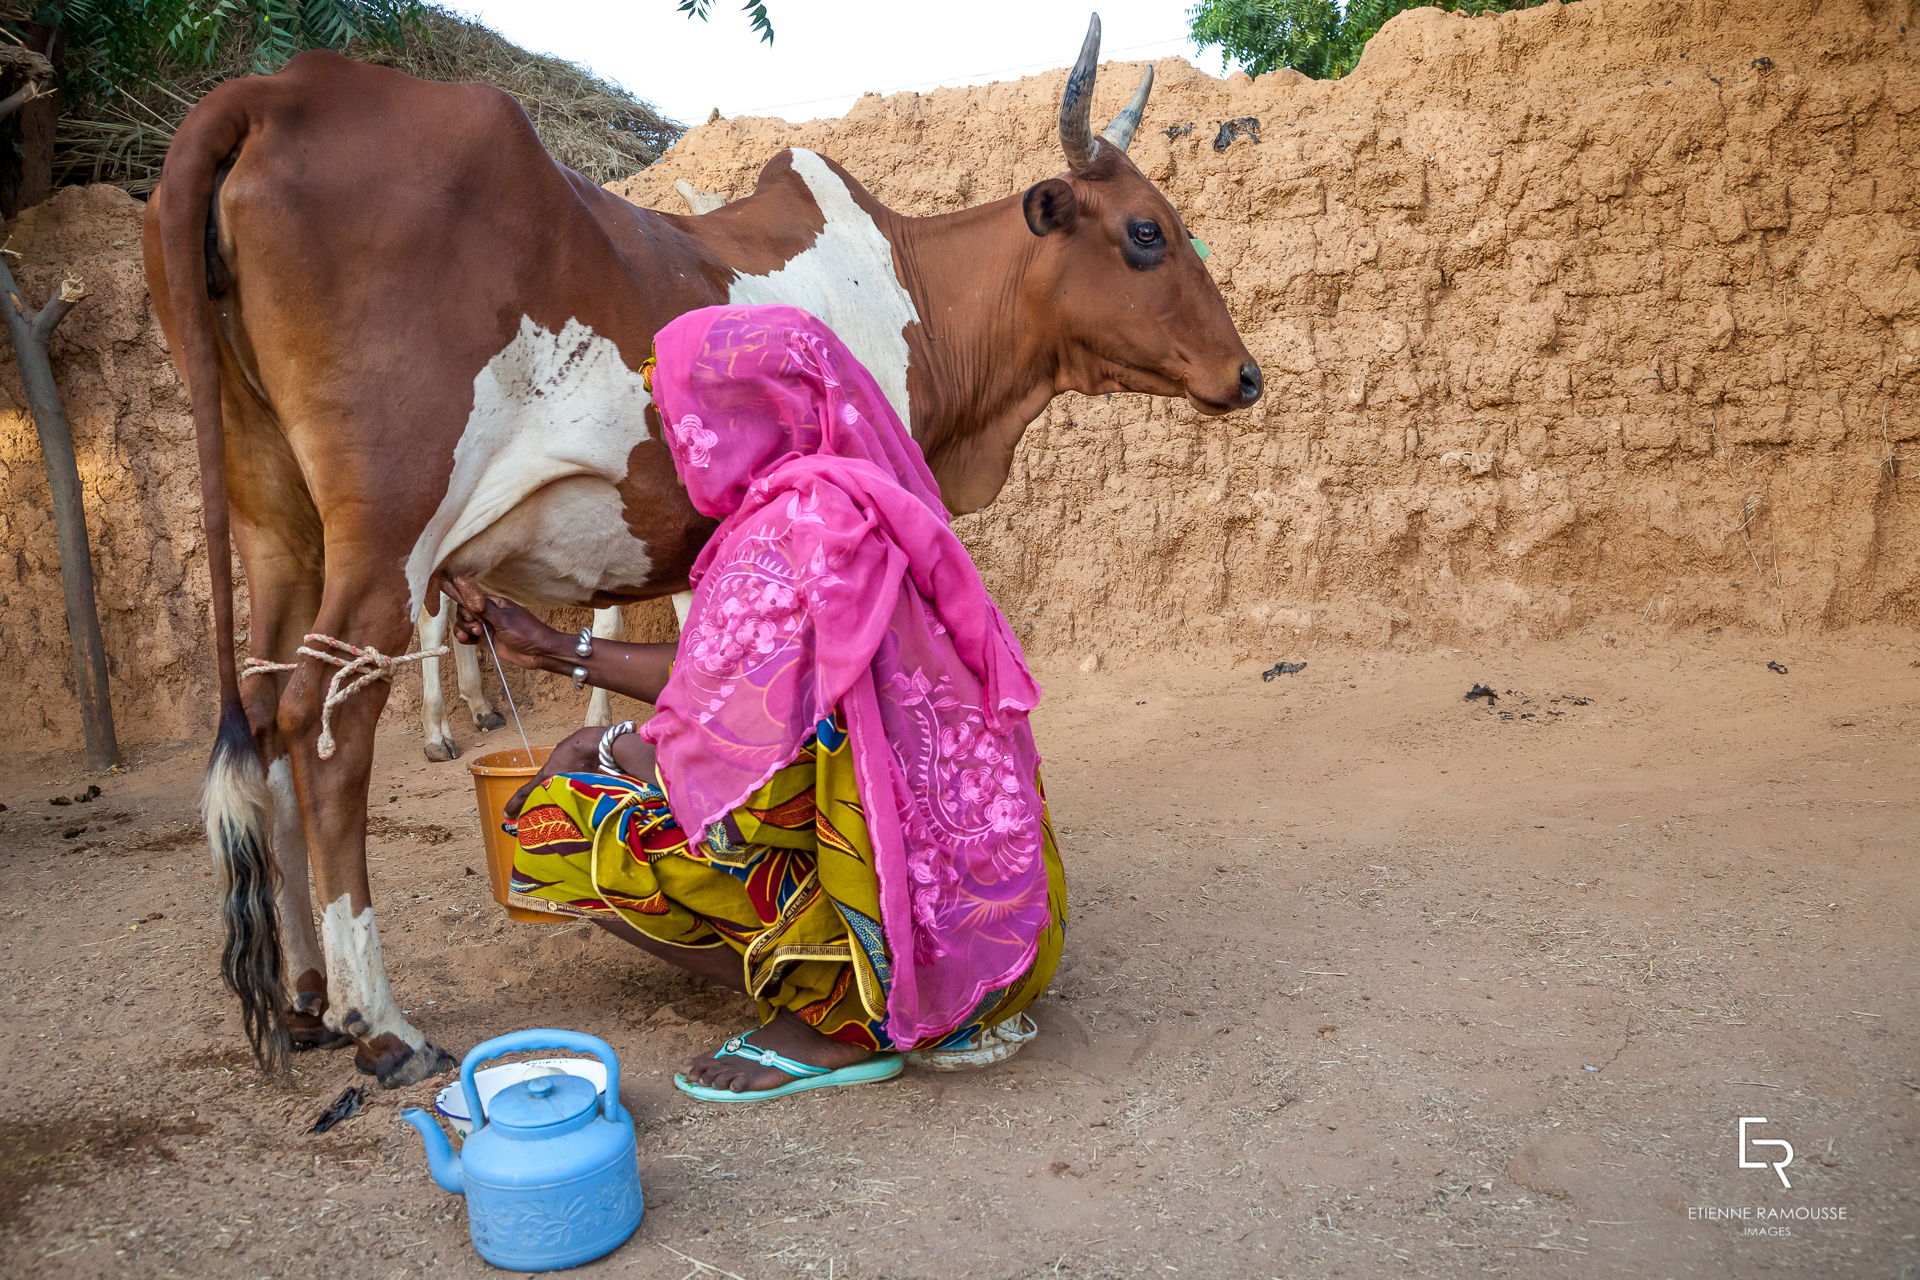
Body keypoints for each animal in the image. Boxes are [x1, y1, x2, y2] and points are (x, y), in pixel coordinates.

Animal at [145, 14, 1259, 1090]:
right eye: (1146, 232)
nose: (1246, 375)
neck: (916, 299)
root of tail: (277, 92)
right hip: (389, 536)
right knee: (324, 725)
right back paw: (376, 1022)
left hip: (279, 530)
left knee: (265, 719)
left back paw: (303, 993)